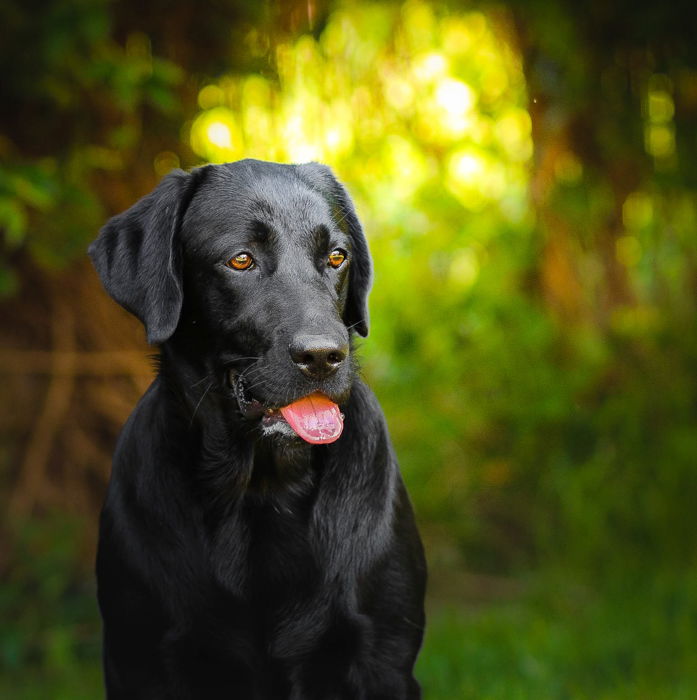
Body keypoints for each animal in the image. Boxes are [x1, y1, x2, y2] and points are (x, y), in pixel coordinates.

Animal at [89, 161, 426, 696]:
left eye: (336, 256)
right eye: (241, 260)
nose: (324, 355)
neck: (264, 487)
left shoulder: (384, 658)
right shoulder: (140, 661)